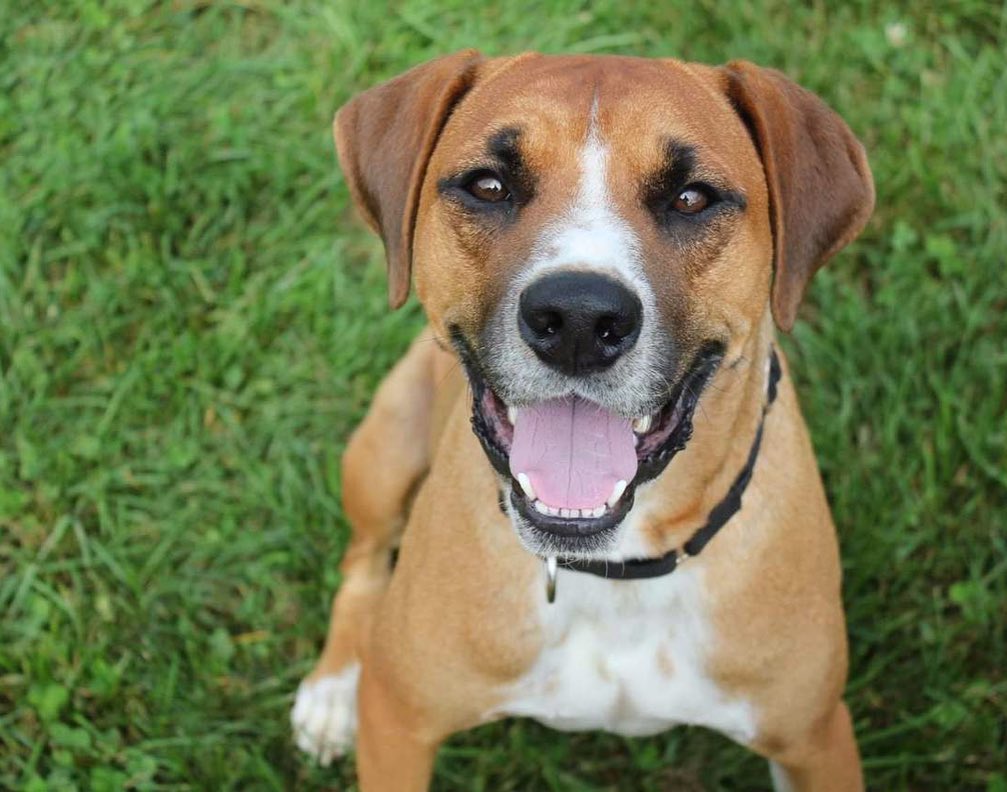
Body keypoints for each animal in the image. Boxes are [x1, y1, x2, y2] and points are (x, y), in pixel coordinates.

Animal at [290, 50, 874, 789]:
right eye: (488, 185)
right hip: (383, 449)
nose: (576, 318)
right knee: (362, 559)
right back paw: (332, 689)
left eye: (691, 197)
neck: (618, 568)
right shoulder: (397, 720)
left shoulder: (816, 739)